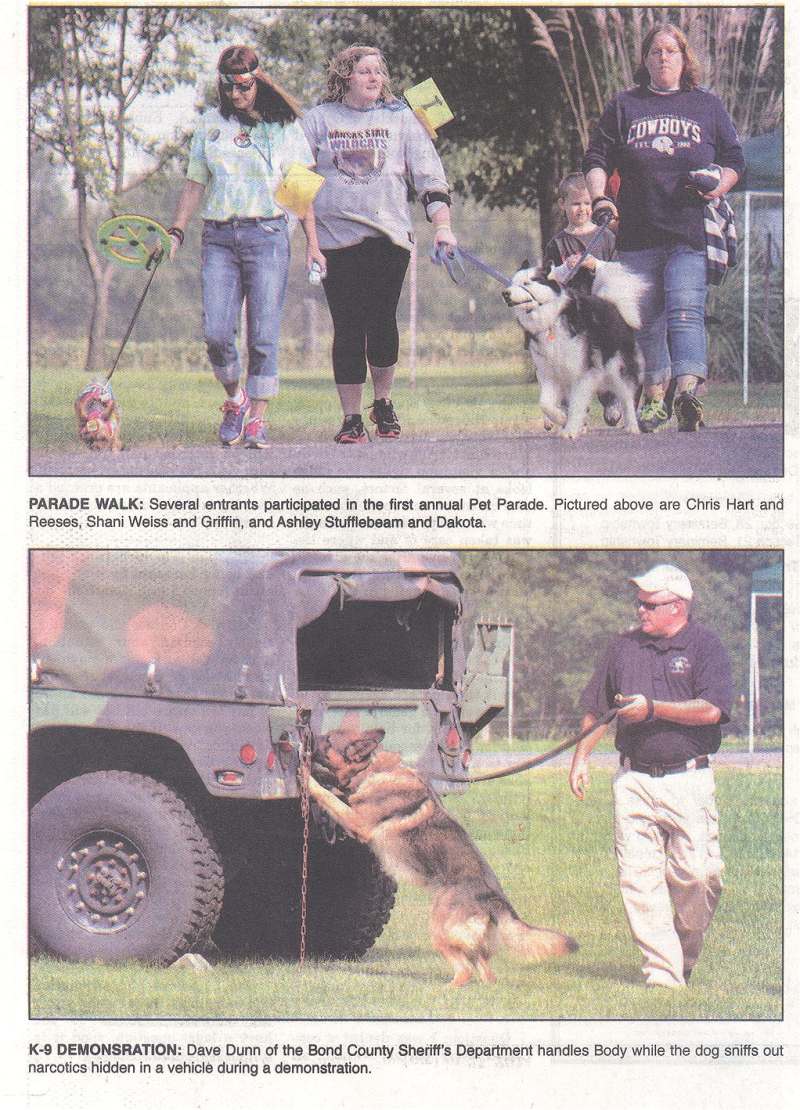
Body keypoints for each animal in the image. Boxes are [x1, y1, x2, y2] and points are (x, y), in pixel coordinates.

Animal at [304, 728, 572, 990]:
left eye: (327, 739)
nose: (304, 736)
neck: (372, 769)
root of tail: (494, 900)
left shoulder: (358, 824)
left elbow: (329, 797)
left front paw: (307, 779)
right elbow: (334, 794)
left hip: (439, 931)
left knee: (465, 972)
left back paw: (443, 990)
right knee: (486, 974)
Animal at [501, 264, 647, 437]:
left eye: (527, 283)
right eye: (512, 283)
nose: (505, 293)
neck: (551, 320)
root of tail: (612, 304)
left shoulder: (582, 371)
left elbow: (577, 404)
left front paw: (570, 430)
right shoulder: (547, 372)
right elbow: (545, 403)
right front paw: (562, 419)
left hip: (616, 368)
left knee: (626, 398)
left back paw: (632, 426)